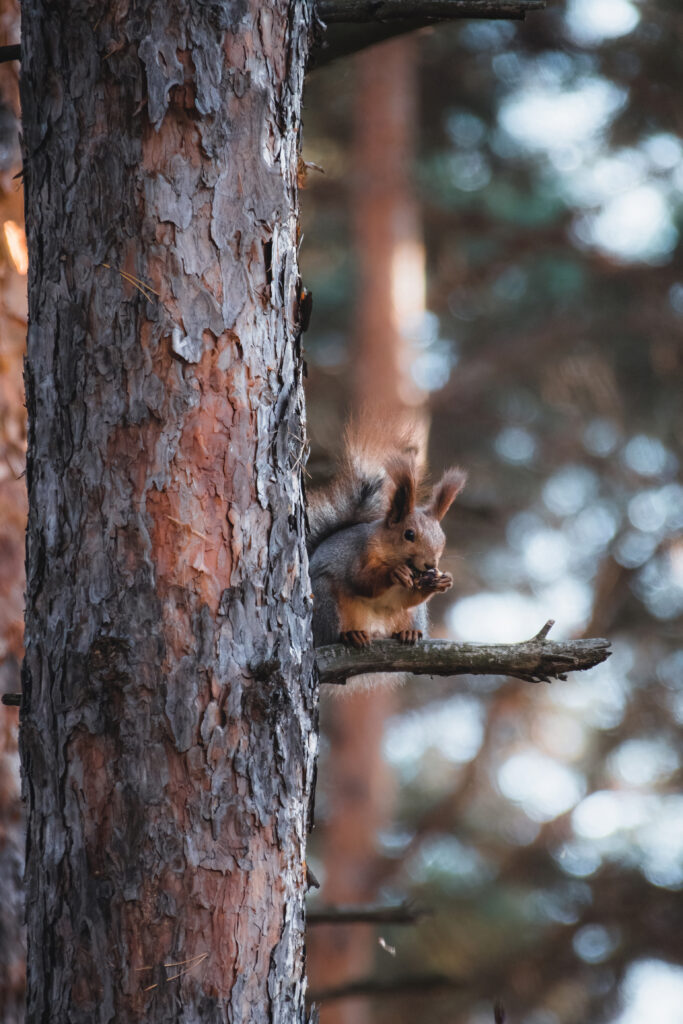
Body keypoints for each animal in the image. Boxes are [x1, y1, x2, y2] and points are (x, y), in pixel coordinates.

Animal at [307, 417, 466, 655]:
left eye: (442, 539)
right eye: (408, 534)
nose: (431, 565)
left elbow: (405, 600)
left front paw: (442, 581)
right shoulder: (358, 553)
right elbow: (361, 581)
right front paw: (394, 573)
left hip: (414, 616)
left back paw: (408, 633)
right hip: (325, 601)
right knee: (331, 635)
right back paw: (350, 635)